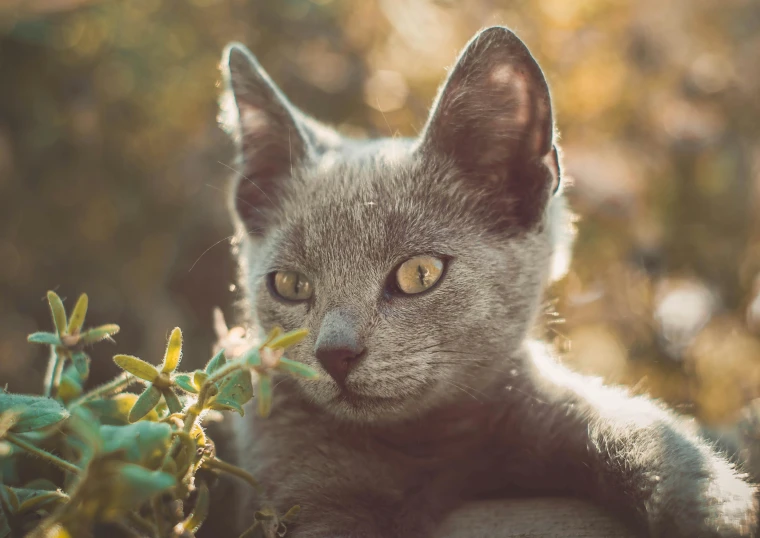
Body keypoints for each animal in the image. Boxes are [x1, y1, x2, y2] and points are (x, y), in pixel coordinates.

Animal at [217, 26, 756, 536]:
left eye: (419, 274)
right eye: (291, 285)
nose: (335, 352)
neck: (432, 449)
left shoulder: (546, 405)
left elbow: (661, 447)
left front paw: (723, 514)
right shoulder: (297, 469)